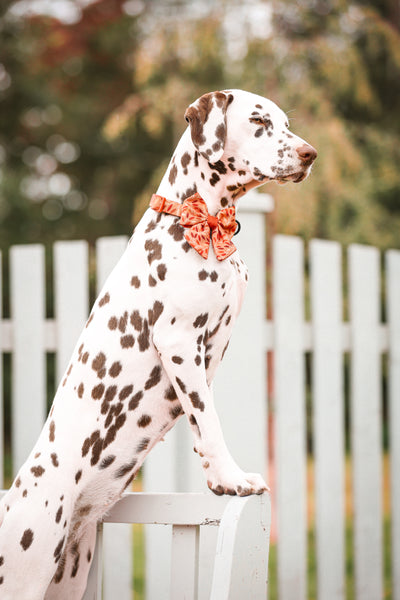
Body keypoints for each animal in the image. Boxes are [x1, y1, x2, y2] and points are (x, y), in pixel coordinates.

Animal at [0, 86, 316, 596]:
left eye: (285, 123)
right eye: (258, 121)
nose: (310, 154)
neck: (198, 221)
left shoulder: (209, 355)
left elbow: (202, 424)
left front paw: (217, 481)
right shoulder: (179, 343)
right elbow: (210, 421)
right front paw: (234, 480)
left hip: (71, 574)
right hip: (27, 575)